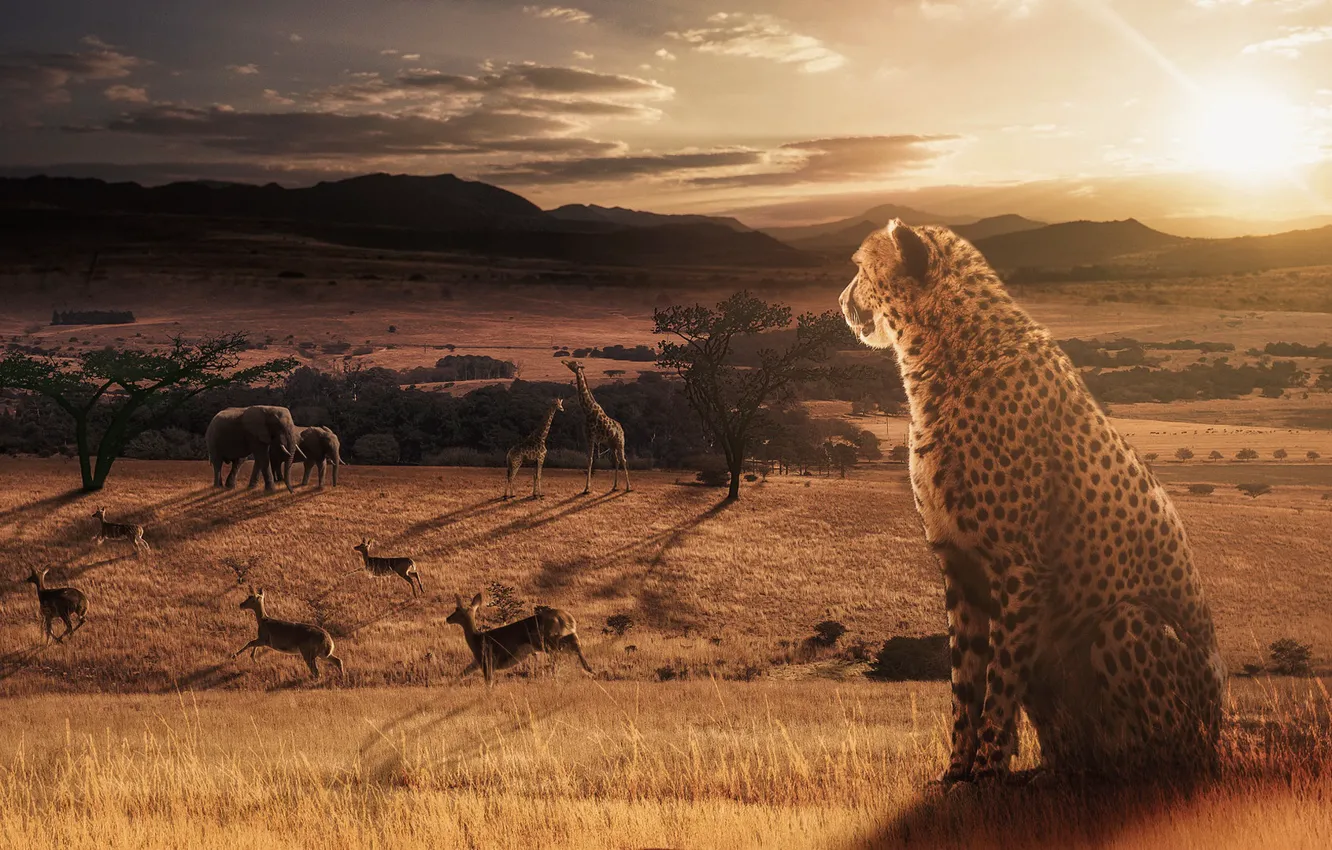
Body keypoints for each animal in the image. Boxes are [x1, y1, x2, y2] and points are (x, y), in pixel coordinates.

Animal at [563, 360, 630, 494]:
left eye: (573, 363)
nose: (564, 361)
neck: (587, 410)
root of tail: (622, 429)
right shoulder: (587, 437)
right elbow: (588, 459)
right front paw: (586, 487)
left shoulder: (592, 437)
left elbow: (590, 460)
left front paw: (587, 488)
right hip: (611, 444)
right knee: (617, 460)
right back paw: (614, 486)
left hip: (620, 442)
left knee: (623, 460)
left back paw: (628, 487)